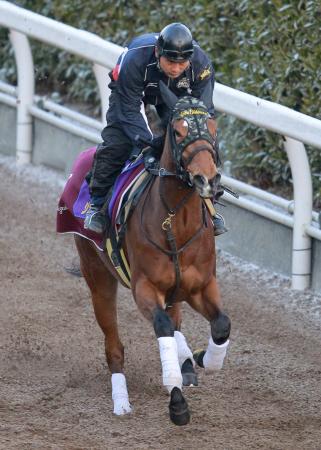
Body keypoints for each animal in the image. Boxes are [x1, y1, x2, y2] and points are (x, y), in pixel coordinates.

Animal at [74, 81, 230, 426]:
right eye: (179, 130)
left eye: (213, 128)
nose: (207, 179)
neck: (176, 223)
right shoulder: (145, 287)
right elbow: (162, 328)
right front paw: (177, 402)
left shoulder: (202, 285)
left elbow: (221, 325)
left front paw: (200, 358)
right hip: (98, 277)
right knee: (114, 346)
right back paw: (121, 401)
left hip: (176, 291)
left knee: (177, 321)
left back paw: (188, 363)